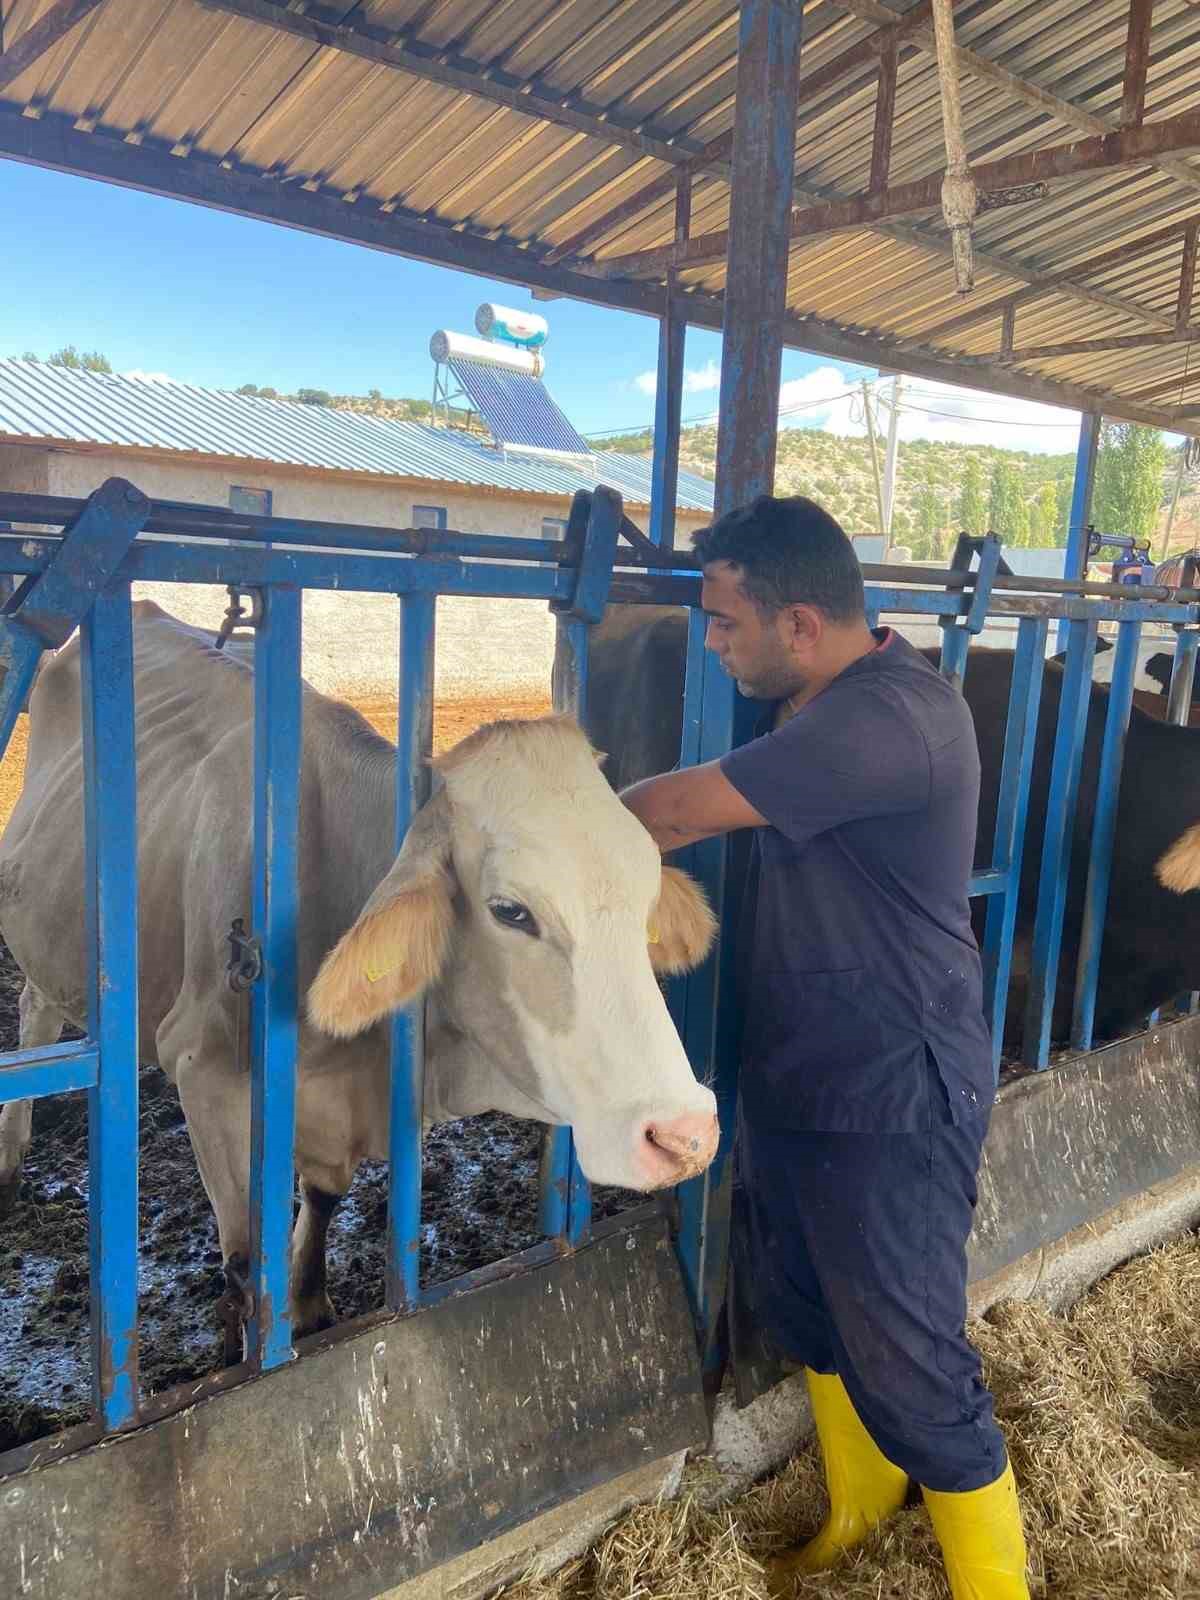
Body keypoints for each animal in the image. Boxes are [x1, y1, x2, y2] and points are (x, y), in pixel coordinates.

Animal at [0, 604, 720, 1344]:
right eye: (510, 911)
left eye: (646, 889)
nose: (686, 1134)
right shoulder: (203, 1071)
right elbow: (243, 1267)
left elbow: (321, 1201)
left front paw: (311, 1304)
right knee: (36, 1013)